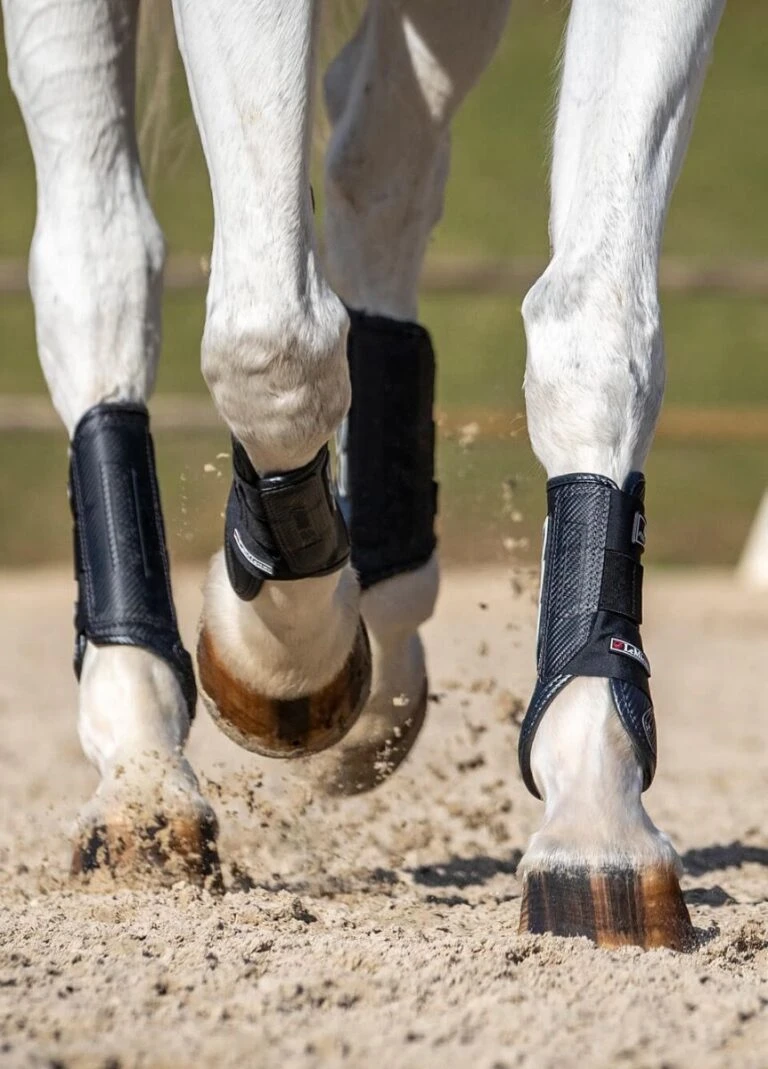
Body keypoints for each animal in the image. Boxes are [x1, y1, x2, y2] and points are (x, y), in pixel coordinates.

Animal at [2, 0, 726, 949]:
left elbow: (597, 335)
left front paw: (595, 817)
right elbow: (272, 343)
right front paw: (276, 660)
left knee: (377, 155)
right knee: (100, 257)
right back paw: (142, 774)